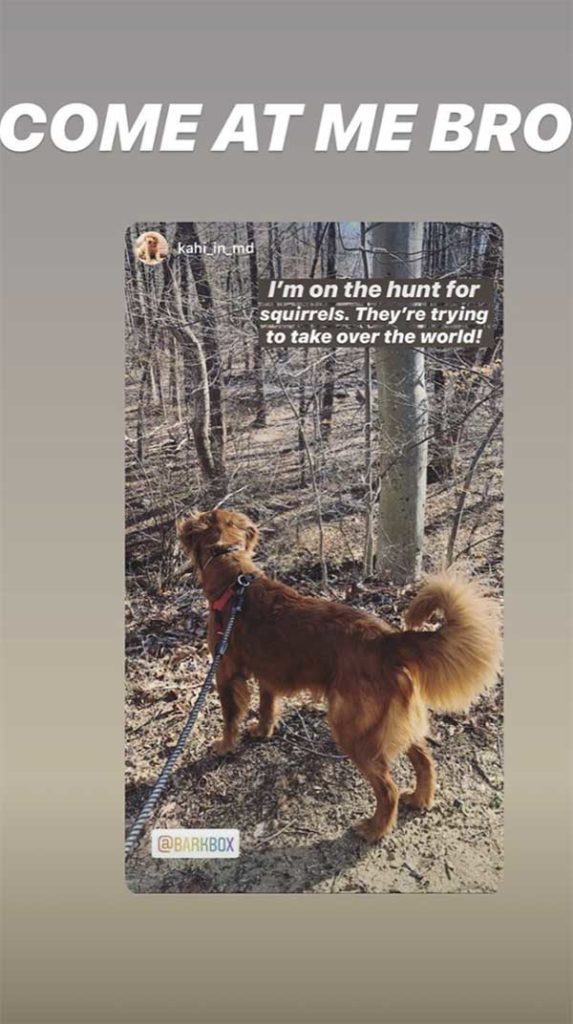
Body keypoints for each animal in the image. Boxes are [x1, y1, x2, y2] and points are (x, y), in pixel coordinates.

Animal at [175, 507, 501, 835]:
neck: (232, 576)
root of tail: (386, 640)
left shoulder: (225, 672)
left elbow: (230, 716)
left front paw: (225, 745)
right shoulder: (268, 674)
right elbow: (268, 706)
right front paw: (262, 731)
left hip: (353, 731)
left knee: (388, 788)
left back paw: (374, 829)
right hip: (396, 722)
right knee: (424, 760)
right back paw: (421, 798)